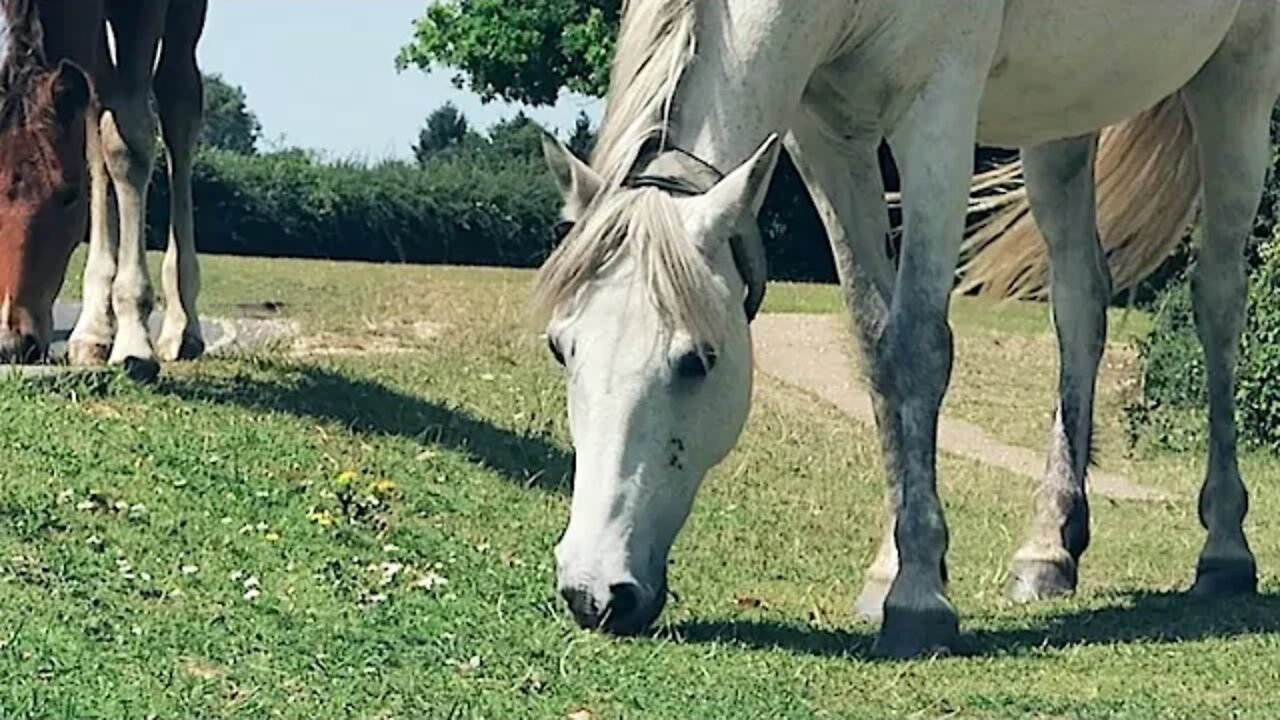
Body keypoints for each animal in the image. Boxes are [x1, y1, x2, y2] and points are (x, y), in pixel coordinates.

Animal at [0, 0, 204, 379]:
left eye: (69, 196)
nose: (12, 343)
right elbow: (97, 123)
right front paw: (97, 332)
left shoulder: (141, 10)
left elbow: (126, 140)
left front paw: (134, 343)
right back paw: (94, 330)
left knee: (178, 98)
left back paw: (182, 327)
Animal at [532, 0, 1280, 655]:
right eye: (561, 348)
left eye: (697, 361)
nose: (594, 592)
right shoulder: (828, 138)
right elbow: (875, 344)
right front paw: (892, 567)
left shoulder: (937, 112)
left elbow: (917, 346)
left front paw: (920, 600)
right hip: (1064, 117)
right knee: (1080, 305)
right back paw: (1048, 549)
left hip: (1240, 70)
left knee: (1217, 298)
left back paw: (1225, 551)